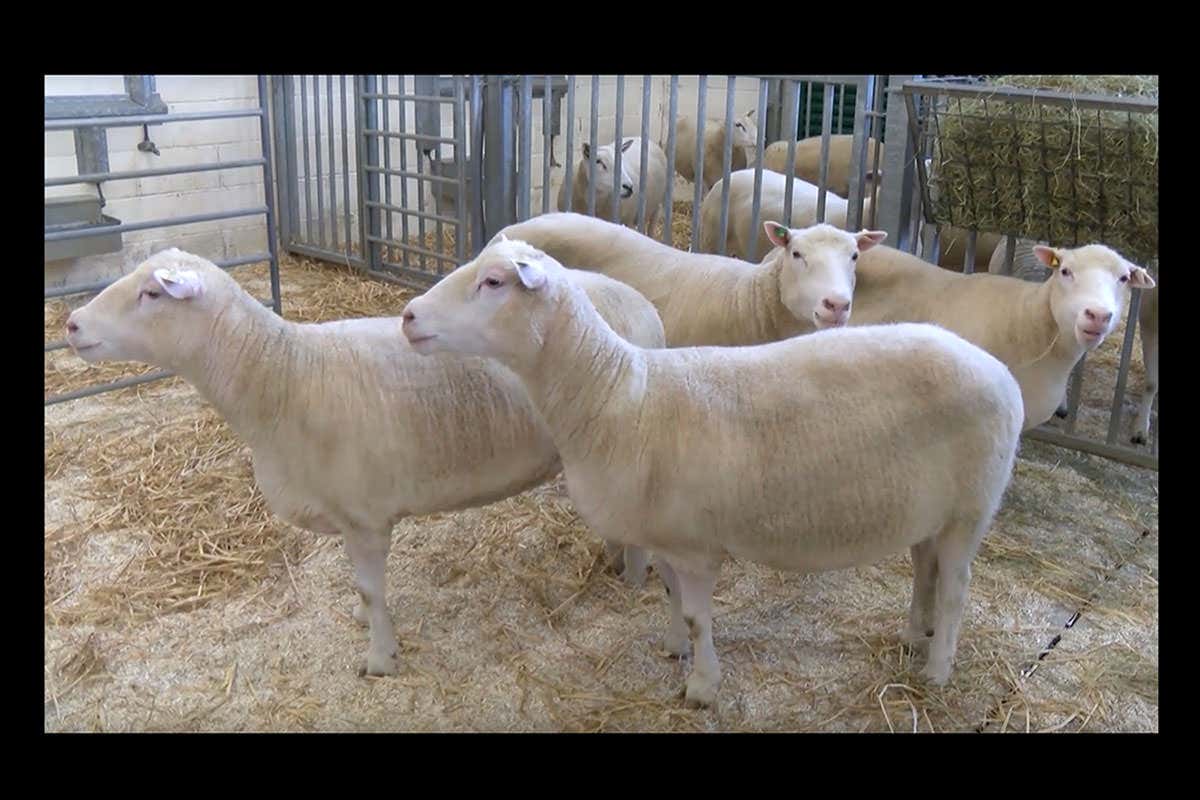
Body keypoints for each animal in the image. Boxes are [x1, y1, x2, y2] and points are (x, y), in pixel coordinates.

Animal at [64, 247, 666, 677]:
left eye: (150, 293)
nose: (71, 323)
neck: (282, 375)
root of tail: (643, 302)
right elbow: (360, 588)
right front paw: (364, 622)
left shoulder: (364, 515)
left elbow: (371, 588)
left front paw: (380, 658)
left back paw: (632, 579)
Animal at [400, 237, 1025, 707]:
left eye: (494, 283)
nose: (408, 317)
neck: (618, 396)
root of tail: (999, 373)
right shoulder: (667, 535)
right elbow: (671, 595)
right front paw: (673, 647)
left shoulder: (697, 546)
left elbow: (700, 615)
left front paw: (701, 686)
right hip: (930, 509)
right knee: (925, 569)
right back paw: (913, 634)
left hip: (970, 509)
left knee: (956, 588)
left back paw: (937, 671)